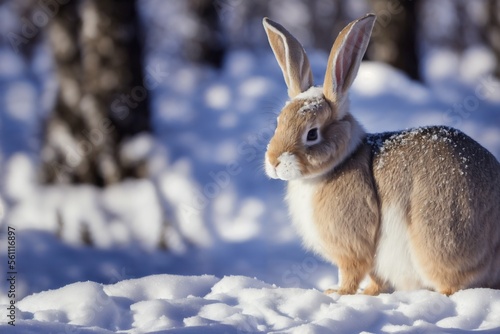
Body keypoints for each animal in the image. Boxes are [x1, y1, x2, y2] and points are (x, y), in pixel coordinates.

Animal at [262, 13, 500, 294]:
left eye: (312, 134)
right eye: (279, 122)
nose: (274, 162)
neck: (338, 164)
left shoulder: (353, 245)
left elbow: (352, 271)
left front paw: (338, 293)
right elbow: (376, 279)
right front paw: (369, 293)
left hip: (442, 231)